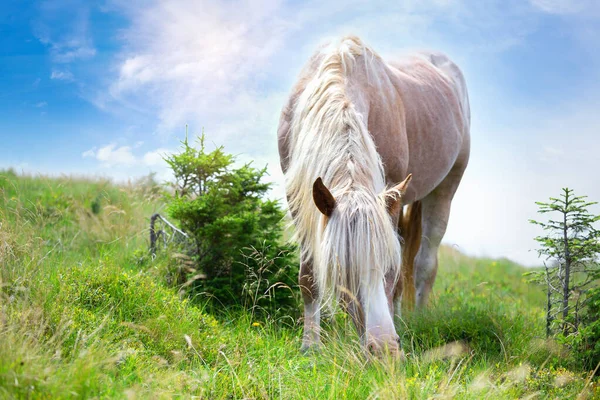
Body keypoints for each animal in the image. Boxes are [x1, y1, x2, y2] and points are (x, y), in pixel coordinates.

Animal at [276, 35, 468, 354]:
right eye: (344, 269)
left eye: (386, 267)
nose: (385, 349)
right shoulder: (300, 201)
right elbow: (309, 276)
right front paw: (311, 345)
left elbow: (400, 275)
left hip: (445, 189)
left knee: (423, 265)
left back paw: (417, 319)